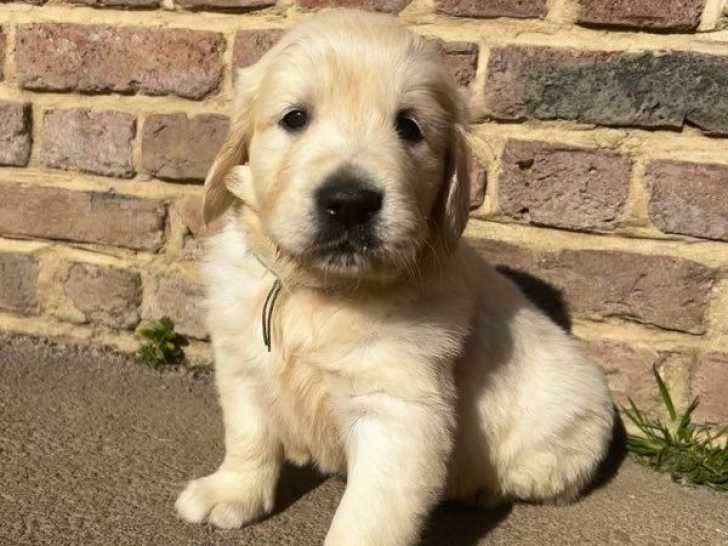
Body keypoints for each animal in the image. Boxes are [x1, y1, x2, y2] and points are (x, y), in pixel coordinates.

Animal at [175, 9, 615, 546]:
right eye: (295, 118)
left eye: (409, 127)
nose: (349, 202)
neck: (320, 291)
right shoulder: (243, 360)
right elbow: (248, 434)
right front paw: (231, 492)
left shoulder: (400, 408)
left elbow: (371, 513)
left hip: (559, 436)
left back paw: (483, 489)